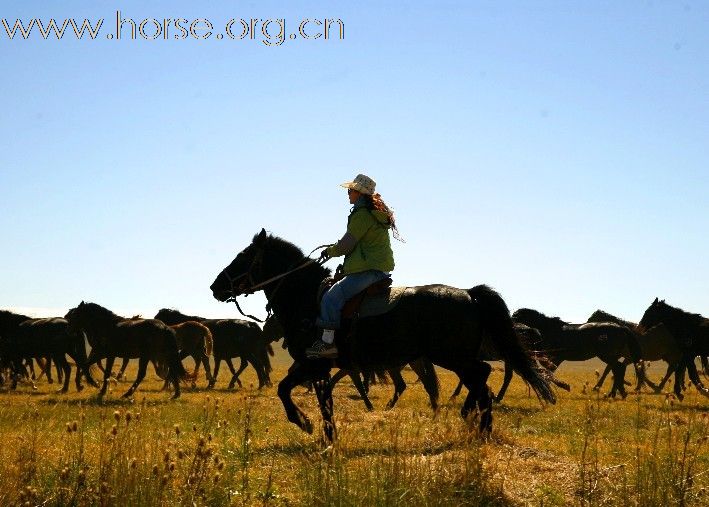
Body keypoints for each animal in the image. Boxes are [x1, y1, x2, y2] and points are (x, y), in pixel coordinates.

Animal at [207, 230, 556, 440]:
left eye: (242, 256)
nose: (215, 287)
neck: (307, 297)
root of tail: (470, 294)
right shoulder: (320, 369)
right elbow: (322, 403)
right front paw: (326, 438)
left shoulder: (312, 364)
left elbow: (284, 390)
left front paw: (305, 424)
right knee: (480, 381)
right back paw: (475, 422)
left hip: (452, 356)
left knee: (480, 378)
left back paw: (475, 423)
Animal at [508, 308, 640, 398]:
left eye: (514, 317)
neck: (549, 331)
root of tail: (621, 327)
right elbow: (547, 371)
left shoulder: (555, 358)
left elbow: (548, 372)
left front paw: (560, 387)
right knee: (618, 369)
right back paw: (617, 393)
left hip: (606, 355)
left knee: (618, 368)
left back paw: (615, 393)